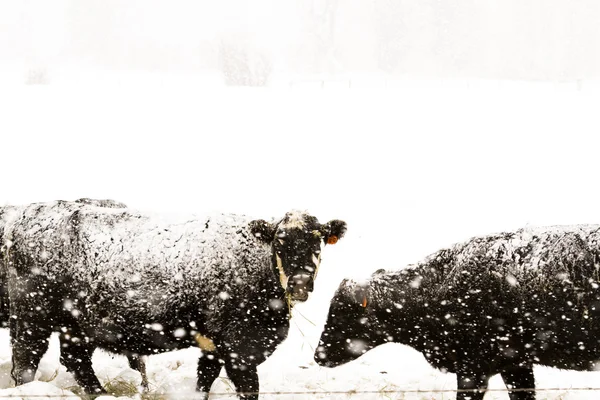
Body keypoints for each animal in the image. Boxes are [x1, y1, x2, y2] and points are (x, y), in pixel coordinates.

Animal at [2, 202, 346, 398]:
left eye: (317, 242)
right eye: (280, 242)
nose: (300, 284)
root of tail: (26, 218)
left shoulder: (215, 344)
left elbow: (204, 379)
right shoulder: (239, 346)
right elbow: (248, 388)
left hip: (76, 326)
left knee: (76, 360)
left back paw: (99, 393)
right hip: (32, 319)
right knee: (26, 363)